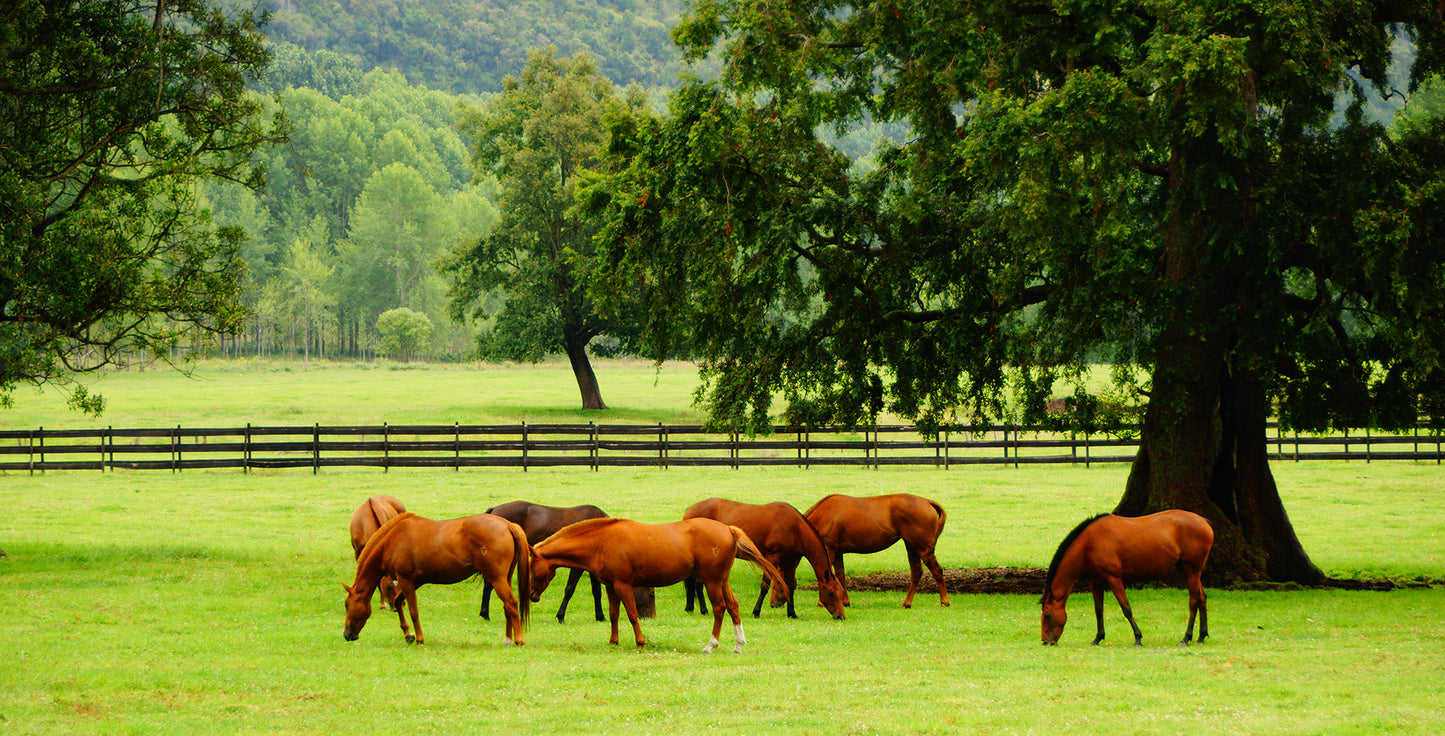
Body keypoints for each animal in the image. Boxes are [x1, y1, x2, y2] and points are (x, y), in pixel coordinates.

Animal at [342, 512, 530, 646]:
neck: (392, 539)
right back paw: (508, 638)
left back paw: (519, 640)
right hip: (504, 578)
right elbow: (398, 602)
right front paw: (408, 634)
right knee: (507, 606)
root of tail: (507, 524)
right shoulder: (413, 582)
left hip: (496, 578)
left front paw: (419, 638)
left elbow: (413, 611)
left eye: (346, 605)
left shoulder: (406, 581)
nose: (346, 634)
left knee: (511, 603)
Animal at [528, 517, 790, 653]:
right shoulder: (611, 586)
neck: (602, 540)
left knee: (719, 609)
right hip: (721, 581)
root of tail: (727, 528)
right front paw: (613, 640)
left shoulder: (623, 585)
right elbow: (613, 614)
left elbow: (632, 614)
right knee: (733, 607)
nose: (531, 595)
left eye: (531, 567)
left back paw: (711, 644)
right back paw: (738, 644)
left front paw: (640, 641)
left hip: (712, 583)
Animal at [681, 497, 846, 620]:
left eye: (840, 593)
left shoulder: (791, 562)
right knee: (697, 583)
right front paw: (756, 611)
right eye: (831, 593)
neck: (795, 528)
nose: (841, 616)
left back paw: (691, 607)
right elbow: (765, 585)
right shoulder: (772, 558)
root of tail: (689, 510)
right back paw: (703, 609)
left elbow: (790, 586)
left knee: (693, 583)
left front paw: (792, 613)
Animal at [803, 493, 950, 608]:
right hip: (912, 547)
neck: (825, 514)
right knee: (916, 572)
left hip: (923, 549)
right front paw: (845, 601)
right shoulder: (838, 552)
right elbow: (841, 575)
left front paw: (822, 602)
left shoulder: (830, 549)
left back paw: (944, 601)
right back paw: (907, 603)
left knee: (937, 570)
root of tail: (927, 501)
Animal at [1039, 510, 1213, 647]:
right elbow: (1098, 609)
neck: (1089, 543)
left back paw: (1186, 638)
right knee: (1202, 598)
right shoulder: (1095, 580)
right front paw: (1098, 638)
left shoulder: (1114, 578)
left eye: (1047, 615)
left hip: (1191, 571)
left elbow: (1126, 609)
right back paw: (1201, 636)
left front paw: (1138, 638)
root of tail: (1204, 522)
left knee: (1193, 602)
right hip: (1189, 571)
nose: (1046, 642)